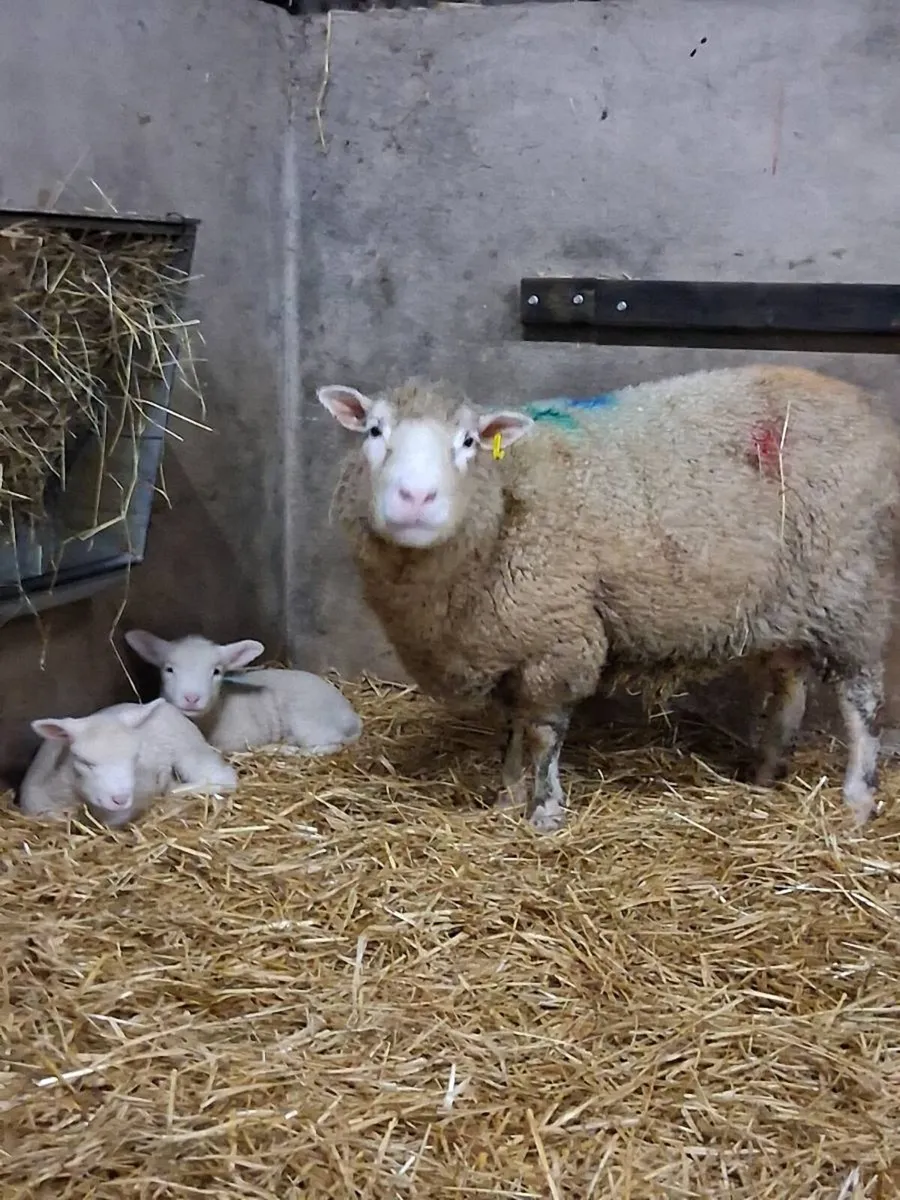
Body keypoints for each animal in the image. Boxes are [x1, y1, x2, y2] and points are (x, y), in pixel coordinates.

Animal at [123, 630, 363, 756]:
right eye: (169, 669)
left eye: (216, 671)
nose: (192, 698)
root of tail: (351, 714)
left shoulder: (240, 739)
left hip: (308, 719)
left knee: (330, 744)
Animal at [317, 366, 900, 833]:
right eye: (374, 431)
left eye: (468, 442)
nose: (416, 497)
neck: (504, 506)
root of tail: (872, 413)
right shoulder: (510, 638)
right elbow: (514, 729)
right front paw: (506, 796)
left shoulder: (558, 637)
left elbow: (543, 734)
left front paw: (544, 812)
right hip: (789, 601)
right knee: (789, 688)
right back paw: (765, 775)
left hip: (852, 590)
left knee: (862, 703)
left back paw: (856, 800)